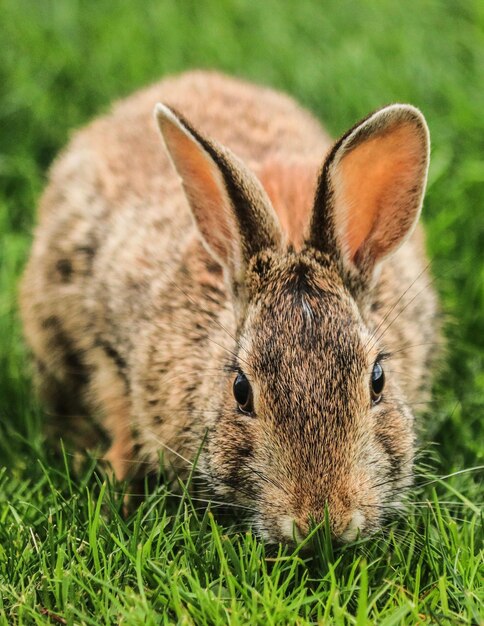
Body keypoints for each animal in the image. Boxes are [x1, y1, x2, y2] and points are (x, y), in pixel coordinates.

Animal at [20, 70, 440, 540]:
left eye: (378, 381)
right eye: (241, 391)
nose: (321, 522)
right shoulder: (107, 341)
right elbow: (121, 417)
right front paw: (116, 490)